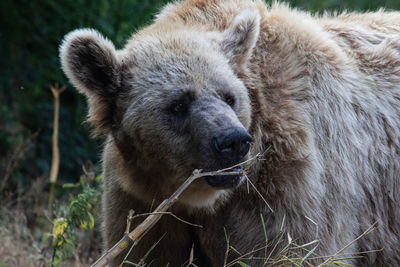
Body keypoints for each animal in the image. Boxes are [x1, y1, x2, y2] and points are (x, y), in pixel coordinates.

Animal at [60, 0, 400, 266]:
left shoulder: (290, 184)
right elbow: (143, 253)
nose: (232, 142)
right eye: (178, 104)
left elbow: (298, 248)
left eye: (229, 97)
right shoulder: (144, 203)